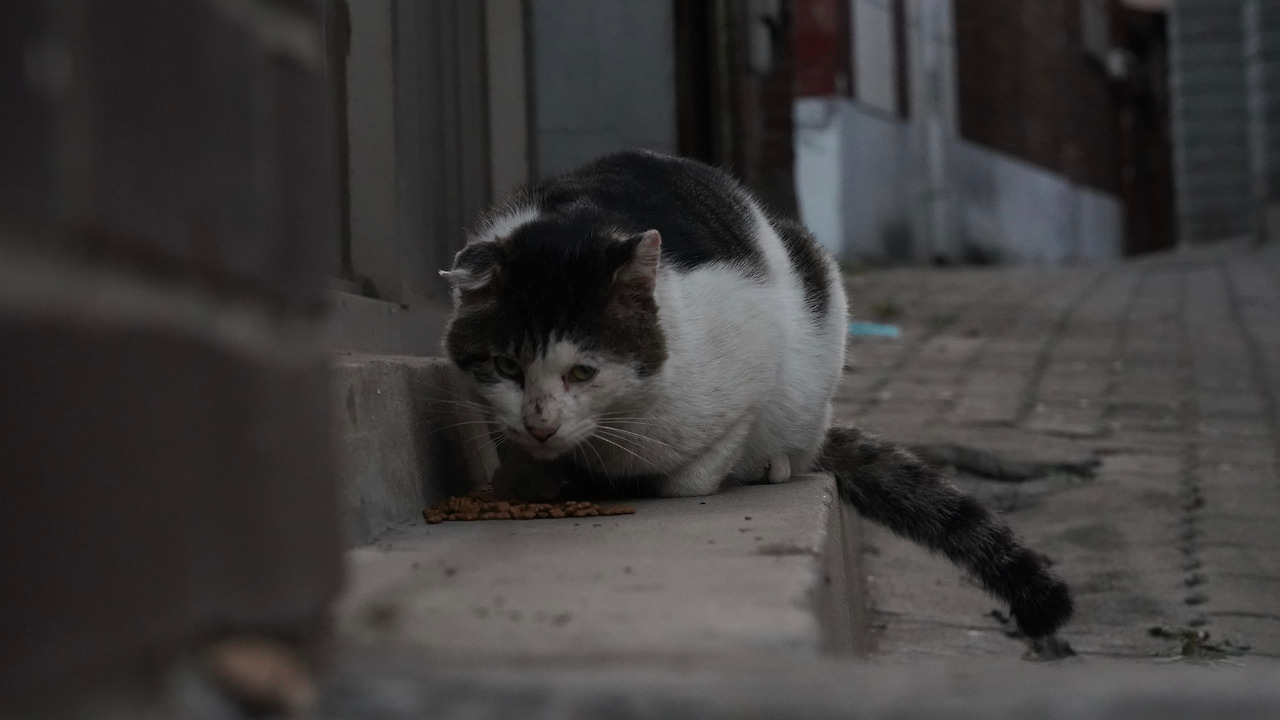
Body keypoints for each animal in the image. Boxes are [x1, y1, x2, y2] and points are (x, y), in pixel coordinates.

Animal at [439, 150, 1073, 644]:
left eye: (583, 372)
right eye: (506, 367)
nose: (540, 424)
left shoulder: (752, 360)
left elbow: (695, 469)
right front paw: (530, 476)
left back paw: (774, 462)